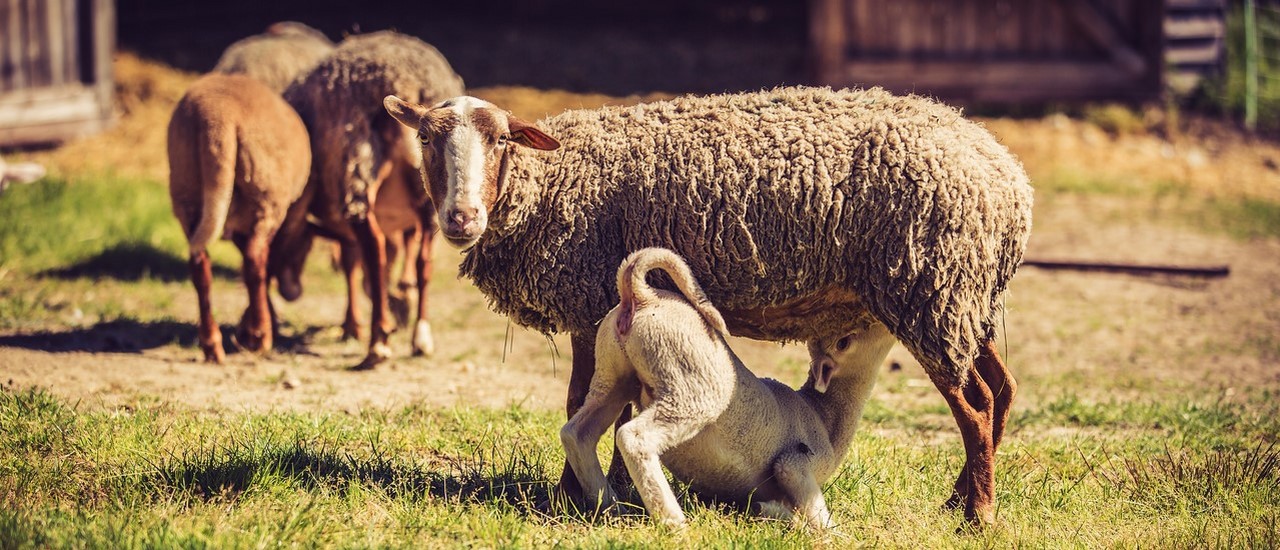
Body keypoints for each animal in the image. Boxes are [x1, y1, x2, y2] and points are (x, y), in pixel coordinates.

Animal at [167, 74, 312, 365]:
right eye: (304, 249)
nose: (294, 291)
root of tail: (217, 117)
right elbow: (266, 264)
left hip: (186, 190)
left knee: (200, 264)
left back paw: (212, 345)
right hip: (266, 194)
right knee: (255, 261)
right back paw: (260, 336)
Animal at [277, 28, 468, 365]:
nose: (289, 291)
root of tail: (403, 79)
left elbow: (352, 263)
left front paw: (353, 325)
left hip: (356, 169)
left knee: (375, 250)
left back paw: (378, 342)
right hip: (430, 191)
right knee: (424, 261)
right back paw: (420, 336)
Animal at [560, 248, 890, 529]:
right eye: (845, 341)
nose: (879, 320)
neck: (823, 413)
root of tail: (642, 296)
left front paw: (770, 512)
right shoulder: (795, 464)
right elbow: (817, 516)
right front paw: (827, 531)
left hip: (611, 374)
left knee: (577, 433)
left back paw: (609, 507)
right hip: (690, 385)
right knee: (634, 437)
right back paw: (673, 522)